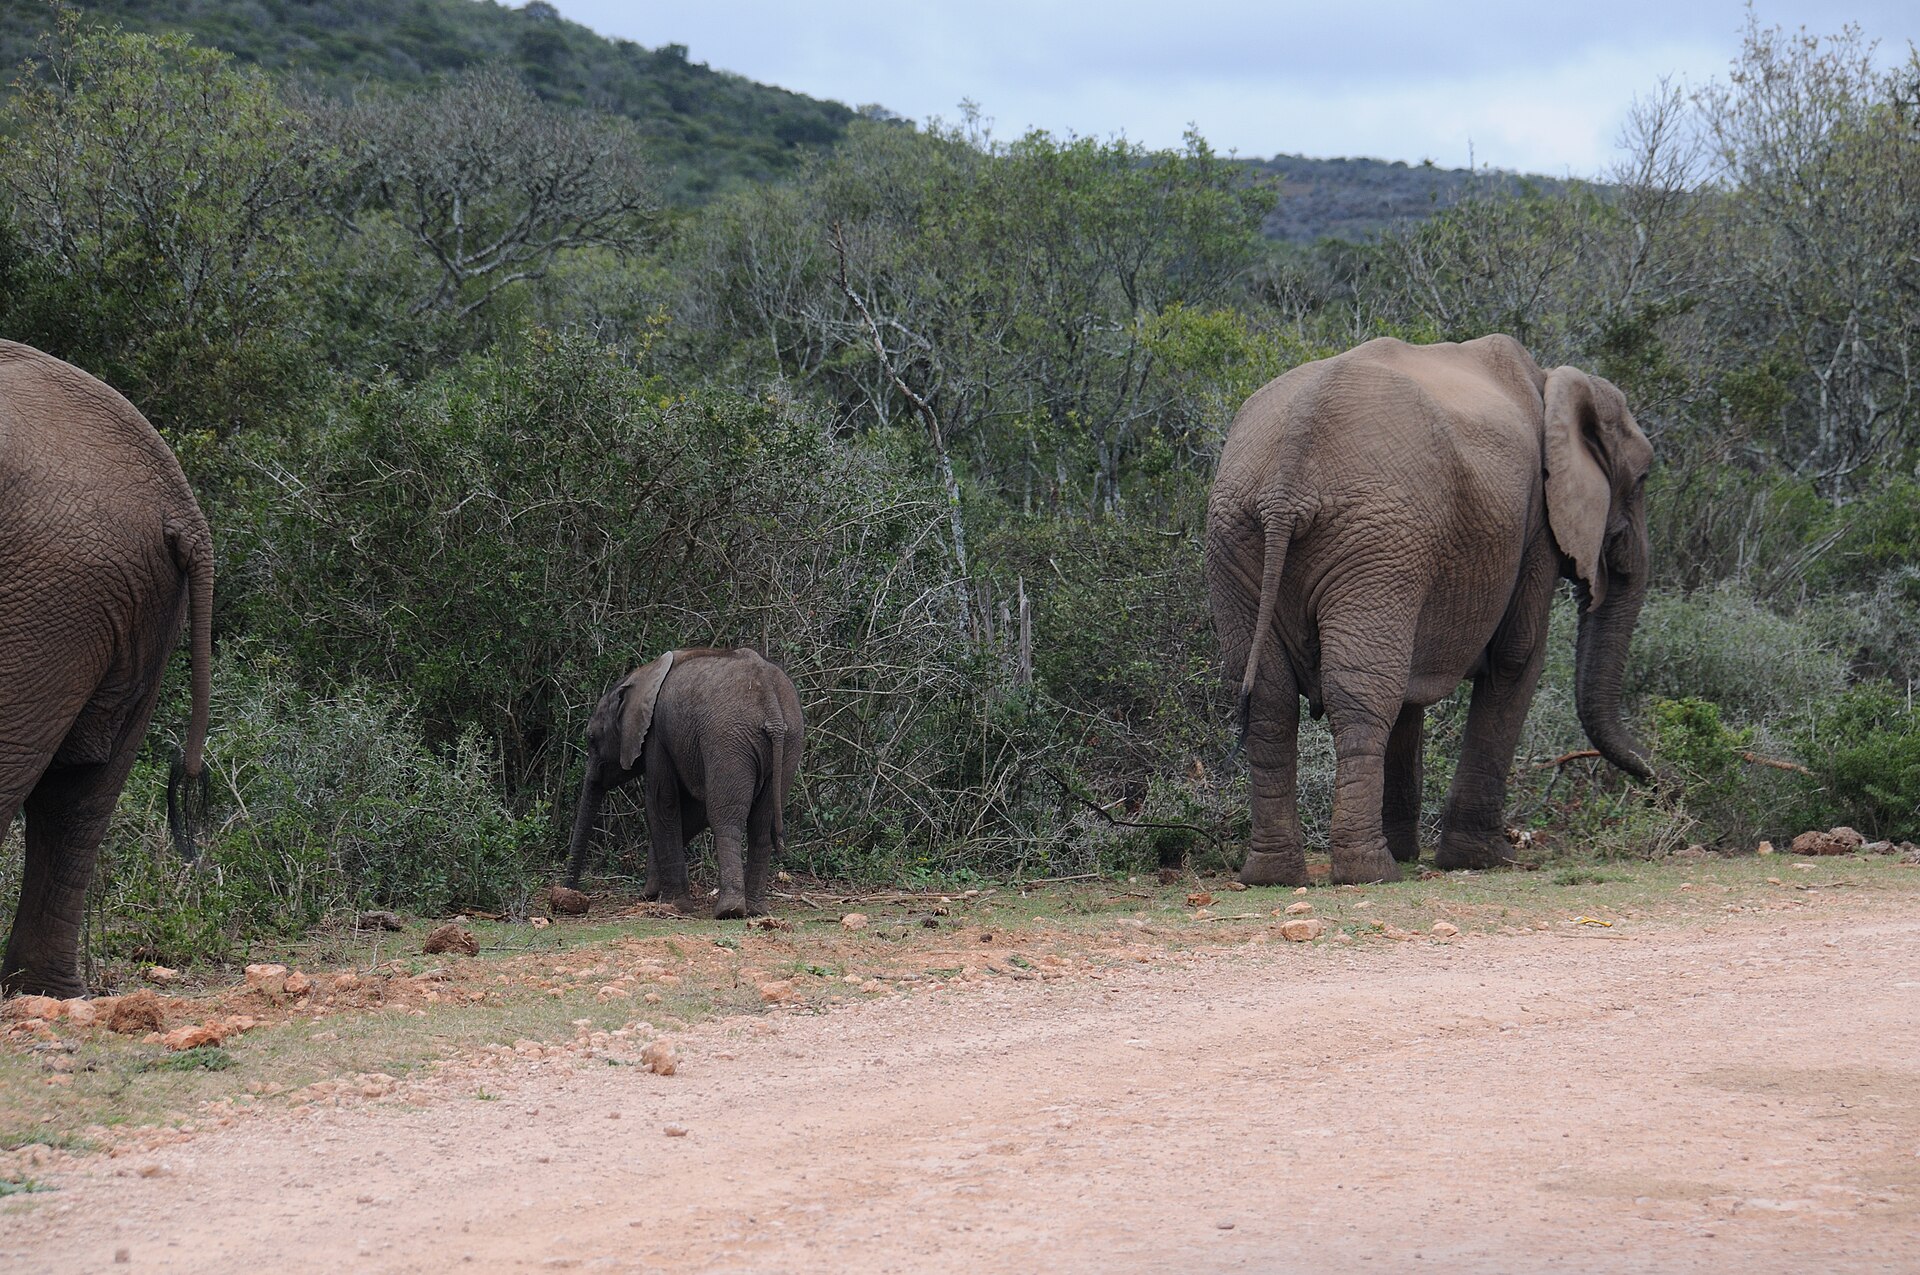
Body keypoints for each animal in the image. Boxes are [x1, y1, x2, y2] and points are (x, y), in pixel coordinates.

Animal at [563, 647, 803, 919]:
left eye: (591, 739)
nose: (570, 891)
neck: (641, 675)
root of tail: (770, 702)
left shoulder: (656, 734)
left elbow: (662, 801)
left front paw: (673, 905)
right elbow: (694, 811)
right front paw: (653, 893)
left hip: (728, 739)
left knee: (726, 817)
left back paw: (729, 910)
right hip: (790, 742)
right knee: (761, 823)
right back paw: (755, 910)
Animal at [1206, 334, 1653, 887]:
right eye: (1643, 479)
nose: (1660, 783)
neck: (1552, 381)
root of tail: (1287, 479)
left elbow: (1413, 687)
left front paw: (1412, 853)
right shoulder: (1535, 529)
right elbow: (1517, 657)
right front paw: (1485, 860)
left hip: (1243, 535)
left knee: (1271, 699)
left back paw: (1274, 876)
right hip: (1375, 539)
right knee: (1360, 693)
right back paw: (1370, 872)